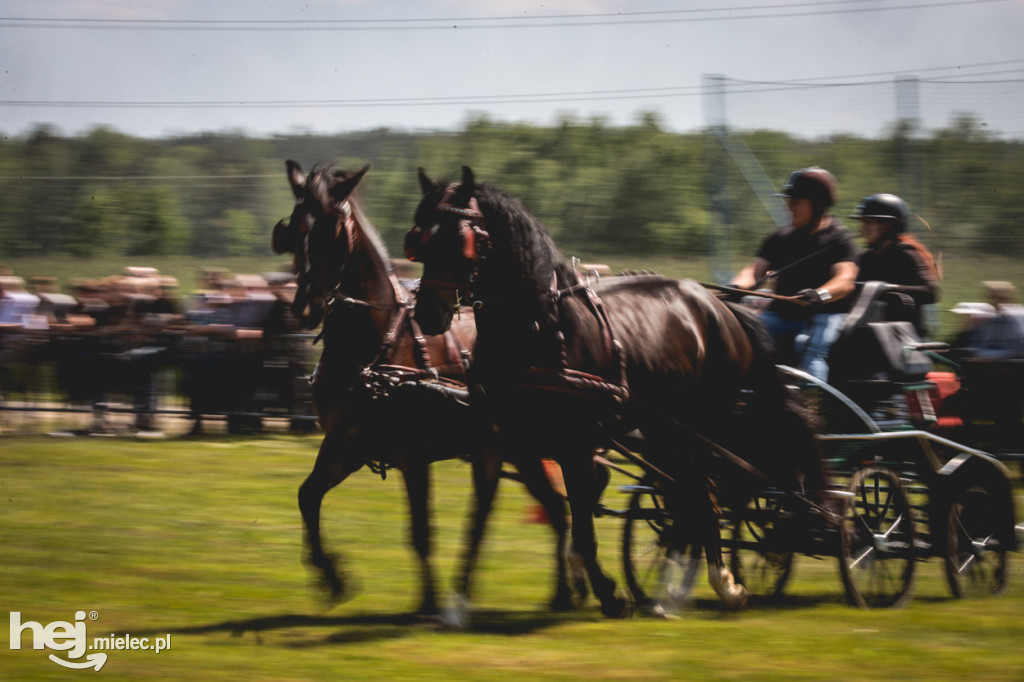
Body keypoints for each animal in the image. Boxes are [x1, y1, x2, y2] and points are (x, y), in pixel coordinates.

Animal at [270, 159, 577, 614]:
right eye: (293, 230)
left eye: (331, 230)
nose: (305, 306)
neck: (375, 343)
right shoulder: (347, 444)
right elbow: (308, 496)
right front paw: (333, 577)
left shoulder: (412, 454)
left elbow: (420, 530)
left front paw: (428, 603)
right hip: (511, 447)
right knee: (549, 508)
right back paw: (560, 591)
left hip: (523, 446)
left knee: (555, 506)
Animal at [403, 165, 827, 614]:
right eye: (419, 239)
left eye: (460, 239)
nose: (427, 313)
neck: (539, 329)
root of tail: (721, 305)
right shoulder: (502, 439)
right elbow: (482, 518)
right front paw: (456, 603)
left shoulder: (573, 442)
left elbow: (582, 520)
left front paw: (606, 591)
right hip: (664, 430)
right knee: (686, 497)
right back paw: (671, 588)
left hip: (699, 427)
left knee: (705, 495)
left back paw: (719, 583)